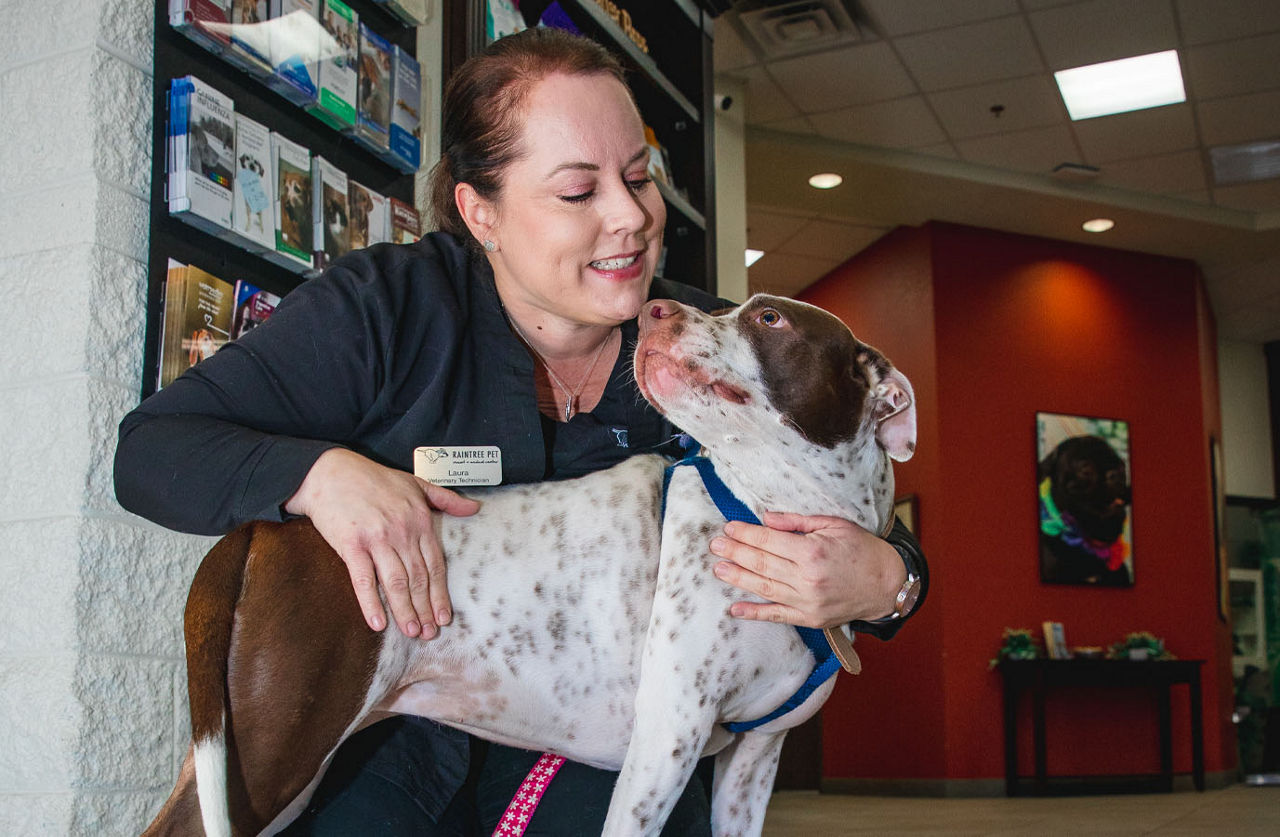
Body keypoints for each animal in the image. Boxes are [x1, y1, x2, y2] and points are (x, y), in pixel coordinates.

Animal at [145, 295, 916, 837]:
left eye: (768, 317)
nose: (653, 308)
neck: (762, 509)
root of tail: (262, 529)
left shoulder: (752, 764)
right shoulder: (665, 742)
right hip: (276, 748)